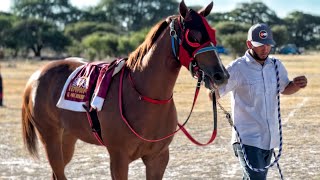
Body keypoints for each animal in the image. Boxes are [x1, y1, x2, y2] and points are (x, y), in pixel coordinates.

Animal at [21, 0, 229, 179]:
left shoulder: (158, 158)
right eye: (193, 36)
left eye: (213, 33)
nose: (221, 75)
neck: (142, 95)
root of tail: (35, 77)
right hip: (50, 138)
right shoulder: (119, 159)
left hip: (68, 138)